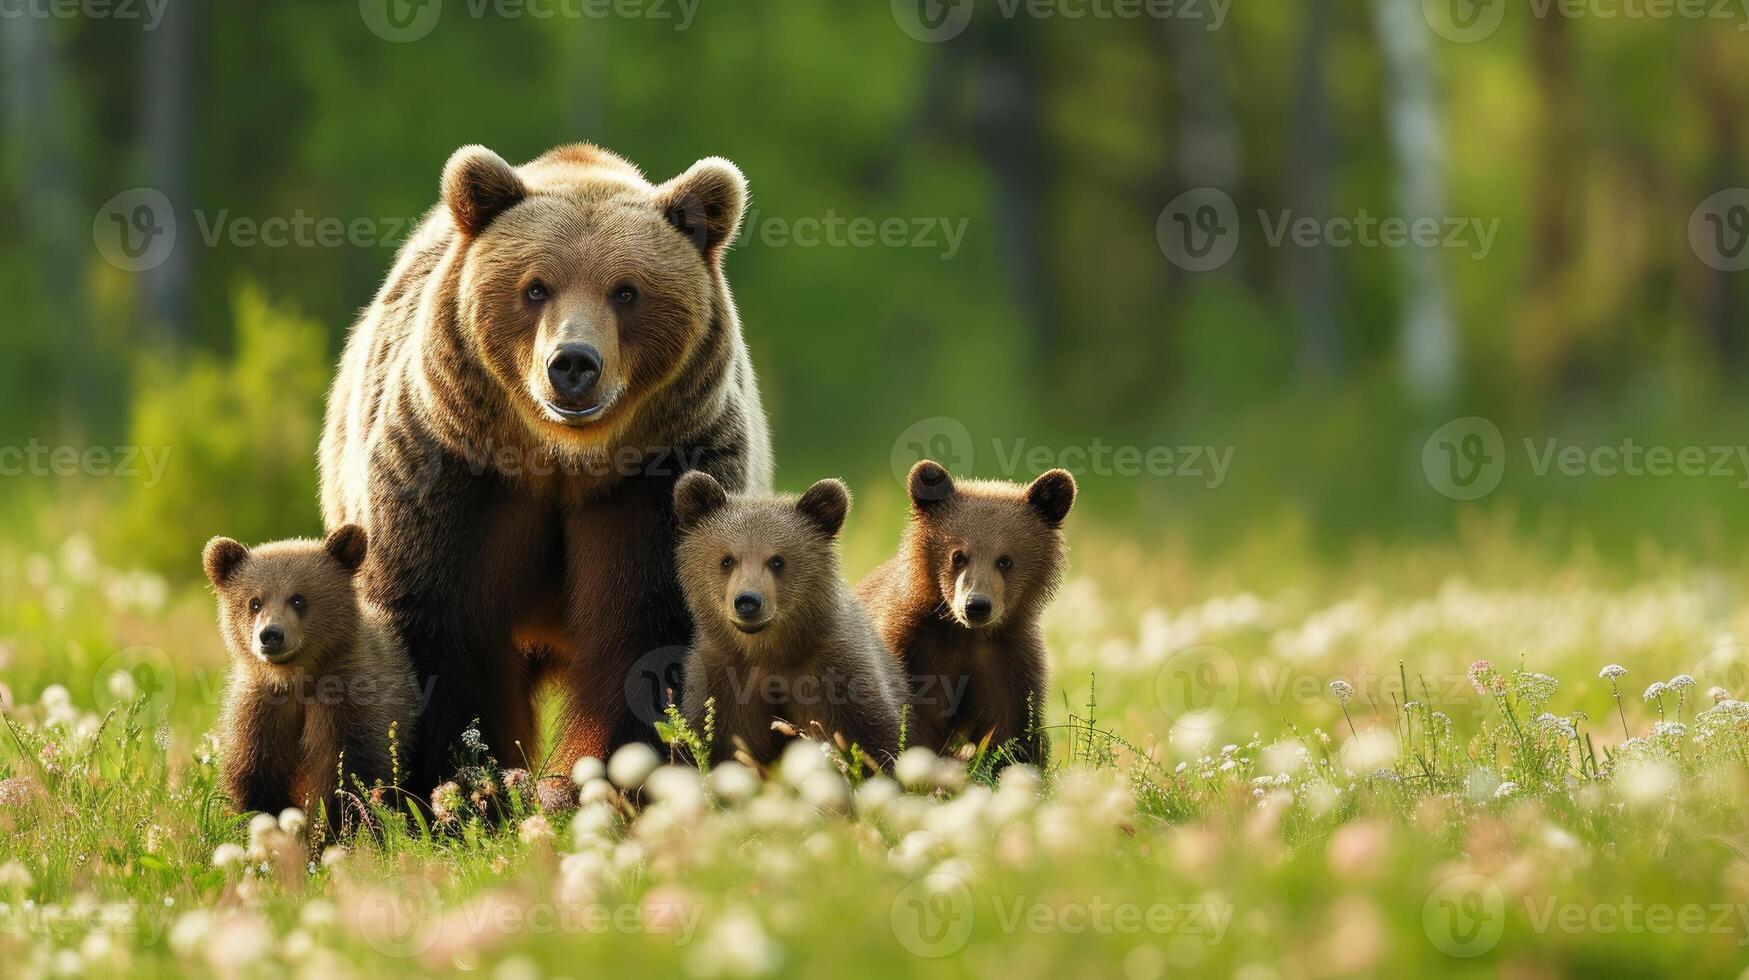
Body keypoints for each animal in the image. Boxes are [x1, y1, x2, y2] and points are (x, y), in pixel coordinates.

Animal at [202, 525, 419, 829]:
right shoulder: (261, 712)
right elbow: (254, 776)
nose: (271, 635)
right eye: (254, 602)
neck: (296, 679)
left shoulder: (348, 702)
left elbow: (352, 772)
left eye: (298, 598)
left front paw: (341, 826)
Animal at [323, 141, 773, 791]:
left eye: (626, 291)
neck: (563, 459)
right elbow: (436, 626)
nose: (573, 363)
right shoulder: (455, 471)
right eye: (536, 287)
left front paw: (610, 778)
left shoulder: (660, 476)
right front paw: (457, 780)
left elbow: (648, 630)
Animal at [675, 472, 909, 770]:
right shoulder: (721, 681)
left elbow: (873, 735)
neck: (769, 652)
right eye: (727, 560)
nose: (748, 601)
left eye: (777, 560)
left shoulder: (837, 672)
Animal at [853, 462, 1070, 766]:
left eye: (1005, 560)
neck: (963, 634)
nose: (976, 605)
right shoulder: (913, 654)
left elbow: (1012, 733)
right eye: (958, 555)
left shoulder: (1006, 665)